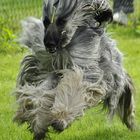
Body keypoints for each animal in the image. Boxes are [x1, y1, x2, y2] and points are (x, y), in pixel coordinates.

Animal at [13, 0, 135, 140]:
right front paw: (37, 122)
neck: (64, 51)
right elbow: (40, 93)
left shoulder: (84, 73)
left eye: (61, 21)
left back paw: (130, 122)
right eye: (46, 22)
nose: (48, 44)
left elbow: (73, 90)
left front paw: (60, 119)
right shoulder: (48, 72)